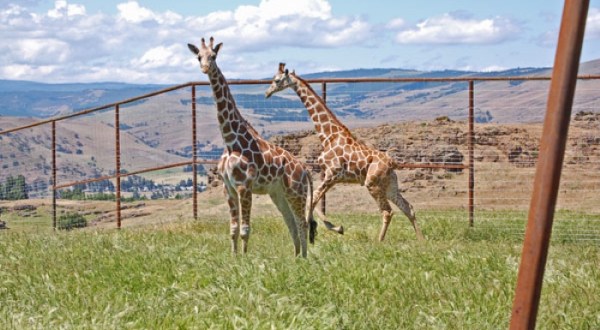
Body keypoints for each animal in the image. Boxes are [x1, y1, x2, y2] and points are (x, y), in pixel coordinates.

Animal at [264, 63, 424, 241]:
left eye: (277, 80)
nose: (267, 93)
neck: (328, 136)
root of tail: (392, 163)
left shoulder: (332, 174)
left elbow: (312, 200)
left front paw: (321, 229)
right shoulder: (331, 177)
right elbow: (314, 200)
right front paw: (324, 228)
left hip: (372, 183)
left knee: (387, 212)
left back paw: (379, 242)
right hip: (389, 184)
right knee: (408, 207)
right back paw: (421, 240)